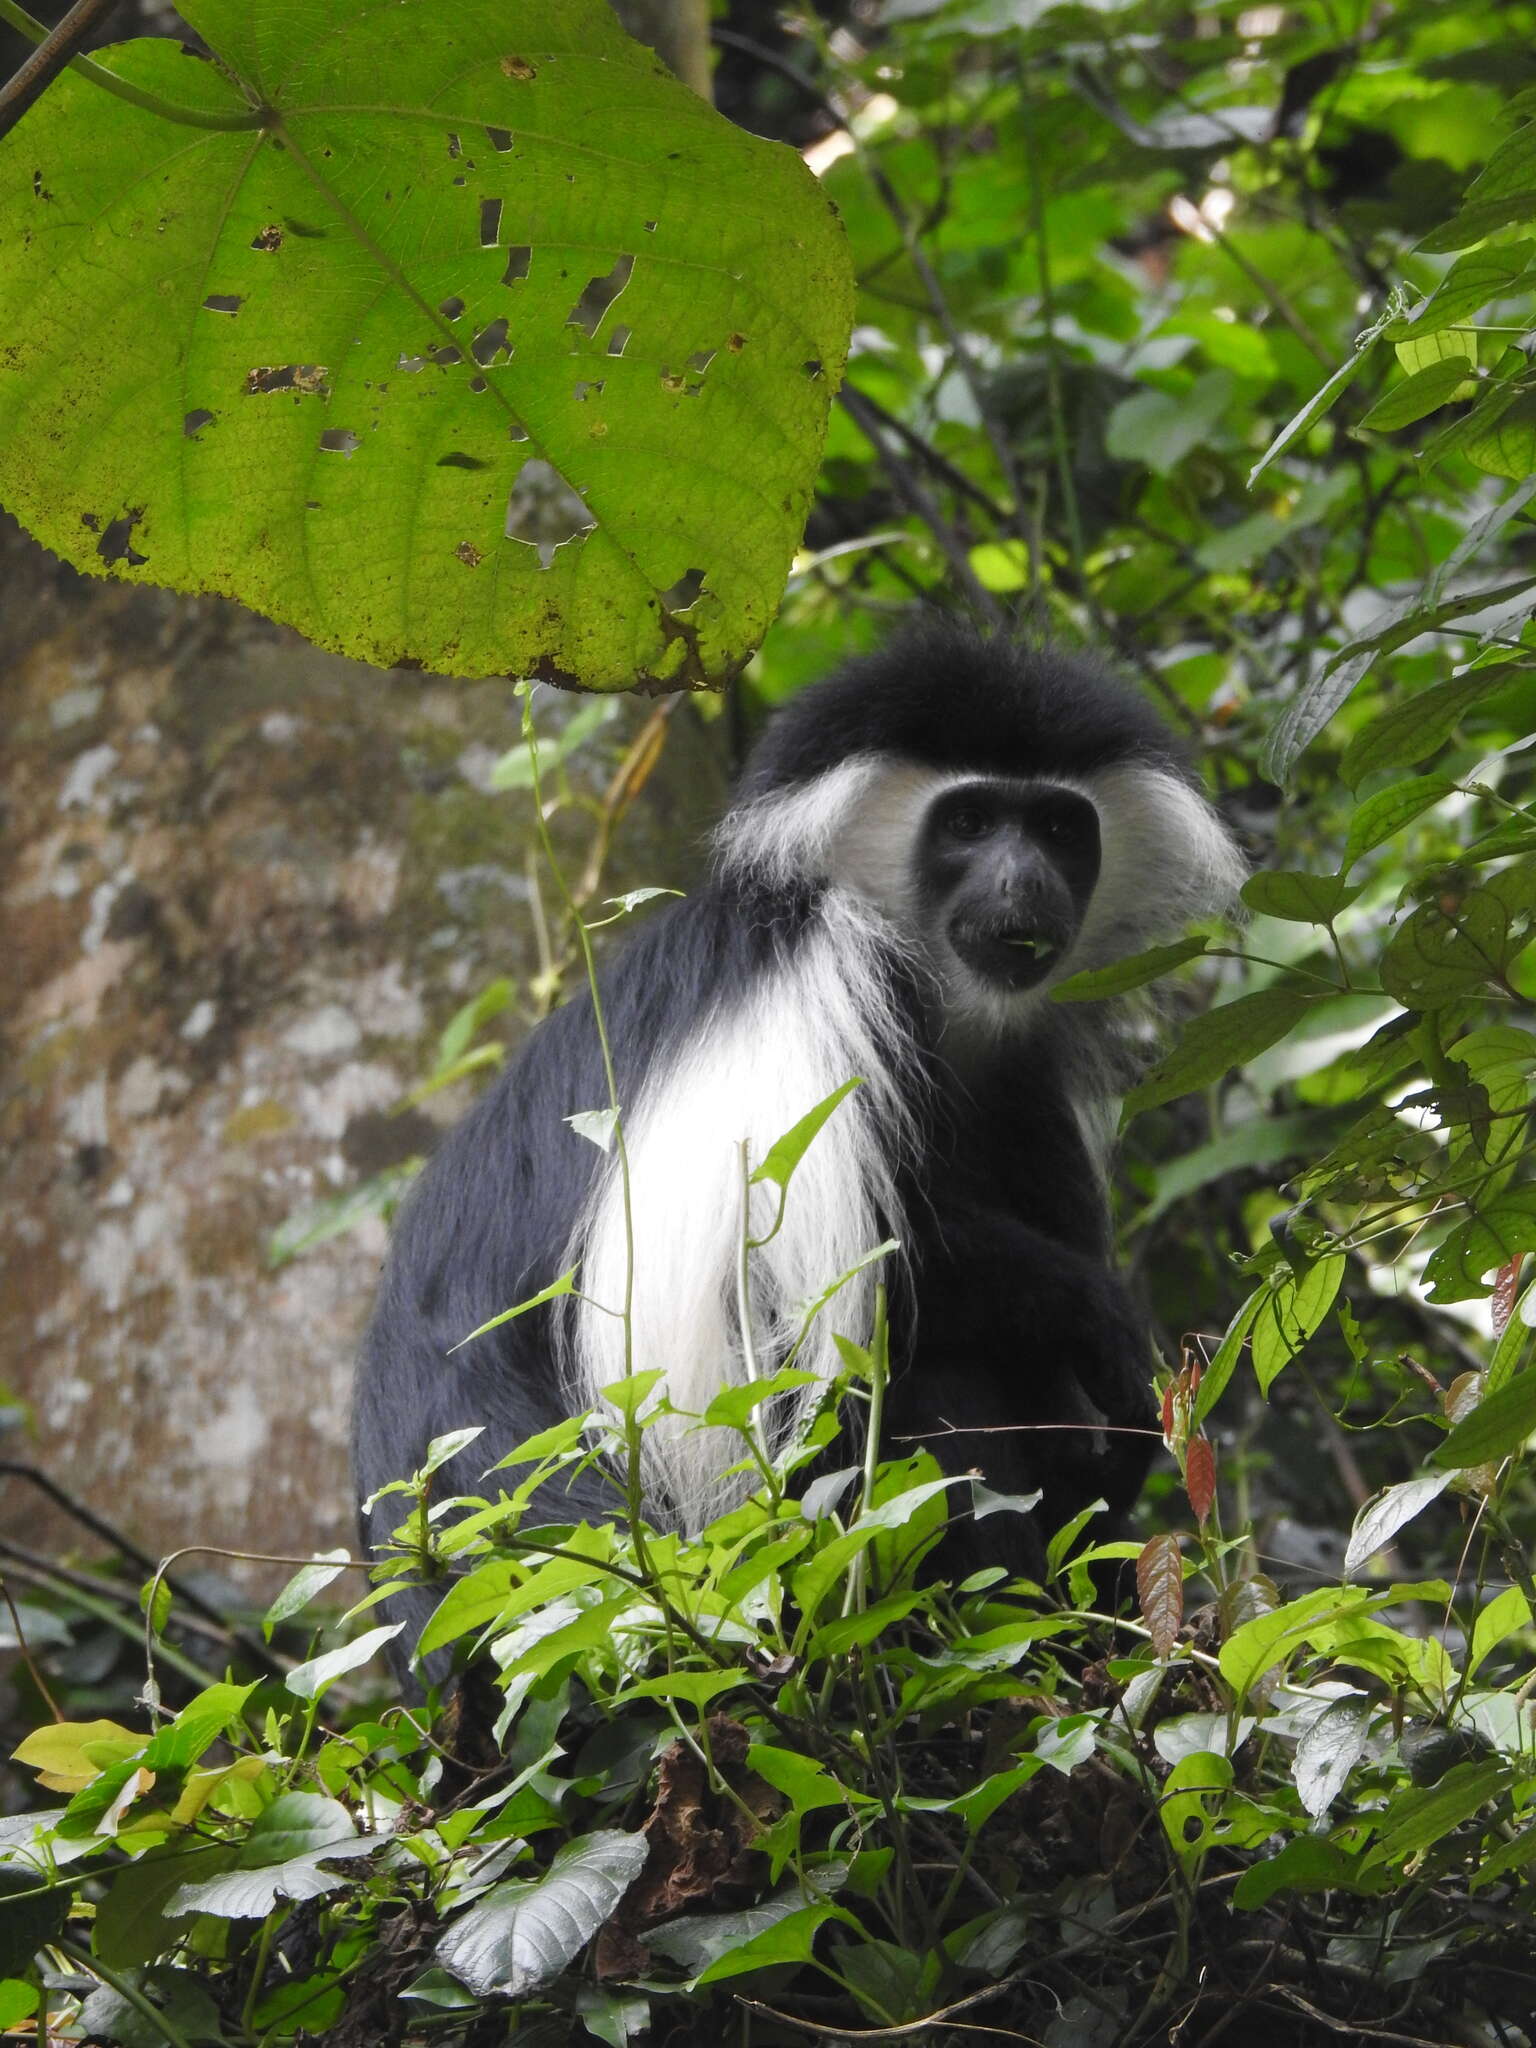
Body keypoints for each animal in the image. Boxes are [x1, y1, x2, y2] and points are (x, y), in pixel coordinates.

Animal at [358, 626, 1253, 1679]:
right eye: (969, 821)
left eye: (1061, 828)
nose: (1023, 883)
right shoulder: (824, 983)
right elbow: (825, 1293)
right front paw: (1106, 1322)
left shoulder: (1023, 1074)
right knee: (906, 1376)